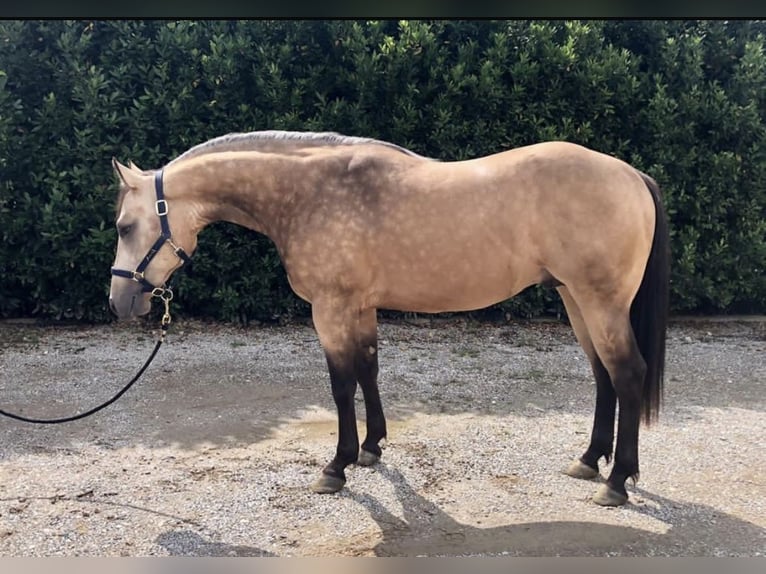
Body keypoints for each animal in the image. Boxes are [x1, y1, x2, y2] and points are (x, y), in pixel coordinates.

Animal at [109, 130, 672, 508]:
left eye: (124, 225)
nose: (119, 303)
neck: (309, 192)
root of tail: (631, 174)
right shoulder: (359, 307)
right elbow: (368, 371)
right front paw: (371, 448)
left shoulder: (331, 309)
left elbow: (341, 385)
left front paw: (336, 466)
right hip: (576, 299)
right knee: (603, 376)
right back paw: (589, 461)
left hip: (600, 302)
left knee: (627, 374)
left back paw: (617, 481)